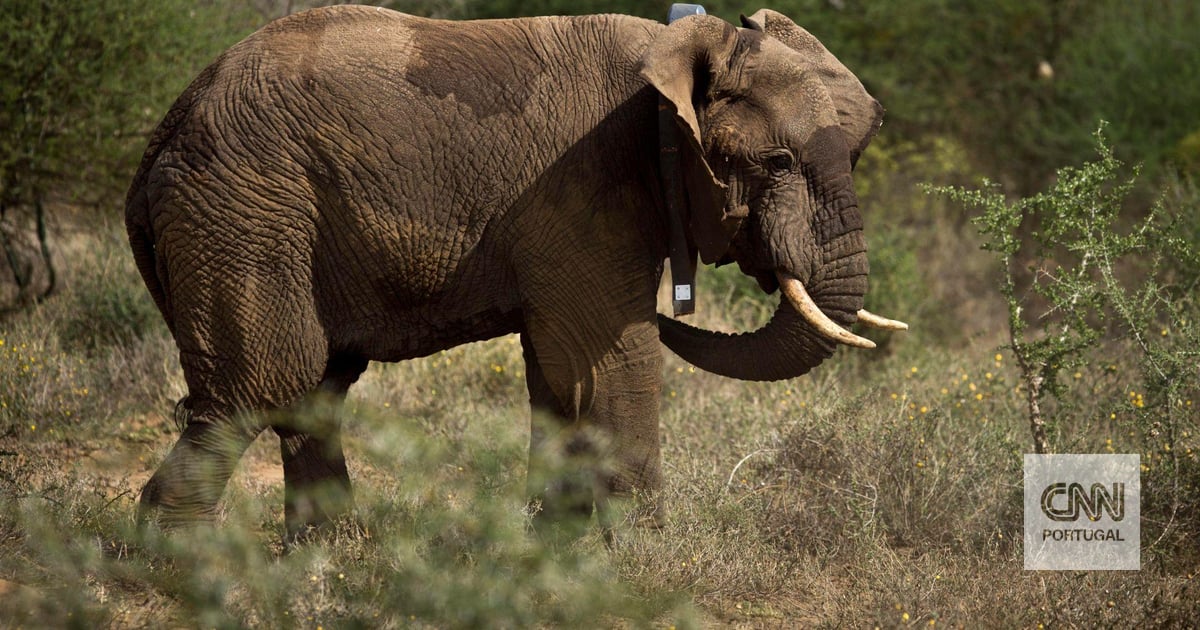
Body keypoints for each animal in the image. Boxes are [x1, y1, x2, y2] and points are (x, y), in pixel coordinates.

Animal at [124, 3, 907, 535]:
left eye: (856, 155)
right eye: (776, 163)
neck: (683, 43)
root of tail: (169, 124)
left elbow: (556, 368)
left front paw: (554, 549)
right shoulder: (584, 182)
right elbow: (608, 354)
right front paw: (645, 561)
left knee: (316, 391)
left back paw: (329, 555)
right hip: (245, 210)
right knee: (260, 388)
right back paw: (187, 565)